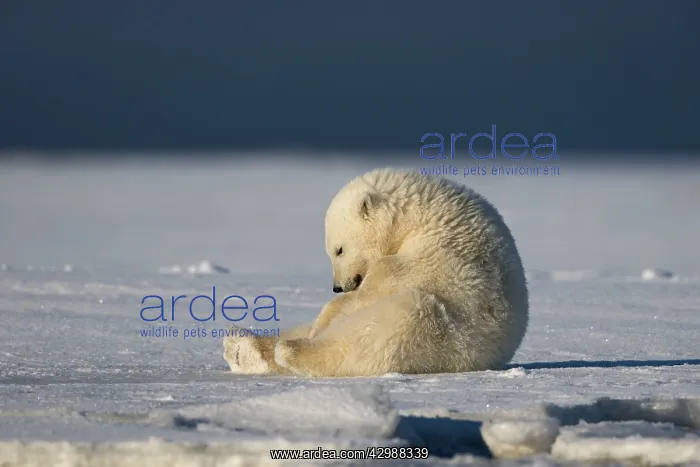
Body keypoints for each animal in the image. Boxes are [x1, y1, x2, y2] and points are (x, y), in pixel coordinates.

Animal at [223, 167, 529, 377]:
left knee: (381, 331)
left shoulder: (452, 252)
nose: (338, 286)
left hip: (446, 341)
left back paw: (290, 349)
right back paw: (243, 345)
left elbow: (395, 274)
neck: (426, 216)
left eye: (339, 250)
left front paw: (334, 310)